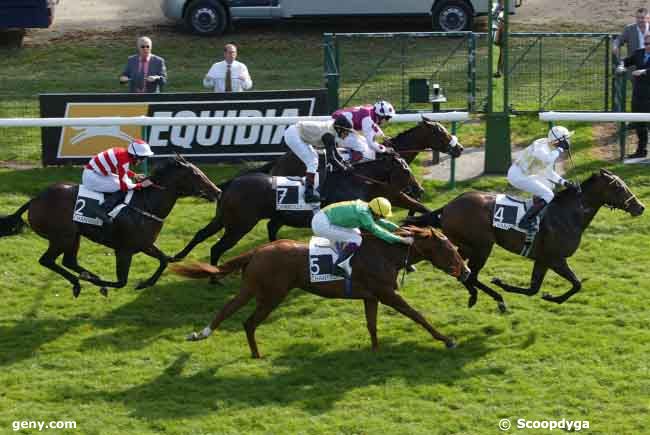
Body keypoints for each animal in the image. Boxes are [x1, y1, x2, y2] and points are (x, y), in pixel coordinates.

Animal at [0, 155, 220, 298]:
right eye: (196, 175)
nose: (217, 191)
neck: (146, 204)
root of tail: (35, 200)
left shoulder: (144, 244)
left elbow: (164, 260)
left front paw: (145, 283)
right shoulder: (124, 250)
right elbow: (121, 282)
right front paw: (100, 283)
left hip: (73, 236)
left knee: (68, 261)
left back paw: (82, 279)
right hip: (62, 237)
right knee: (47, 260)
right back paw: (80, 281)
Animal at [170, 153, 428, 266]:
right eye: (406, 170)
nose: (419, 189)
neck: (358, 179)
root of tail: (231, 183)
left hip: (225, 219)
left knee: (202, 234)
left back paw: (179, 256)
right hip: (239, 225)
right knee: (217, 247)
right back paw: (214, 276)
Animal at [170, 225, 468, 358]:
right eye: (449, 248)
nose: (465, 271)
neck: (385, 253)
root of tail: (258, 250)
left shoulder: (371, 296)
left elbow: (372, 325)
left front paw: (375, 350)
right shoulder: (387, 293)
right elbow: (417, 315)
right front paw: (447, 339)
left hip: (252, 288)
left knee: (228, 309)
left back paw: (201, 334)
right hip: (272, 295)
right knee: (249, 322)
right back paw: (257, 354)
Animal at [404, 169, 644, 312]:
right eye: (619, 187)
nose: (640, 207)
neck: (569, 214)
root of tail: (448, 206)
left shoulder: (543, 259)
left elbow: (536, 289)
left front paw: (550, 297)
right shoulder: (555, 259)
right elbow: (575, 284)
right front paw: (504, 284)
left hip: (466, 246)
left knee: (462, 271)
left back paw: (479, 295)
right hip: (482, 246)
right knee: (470, 274)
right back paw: (493, 297)